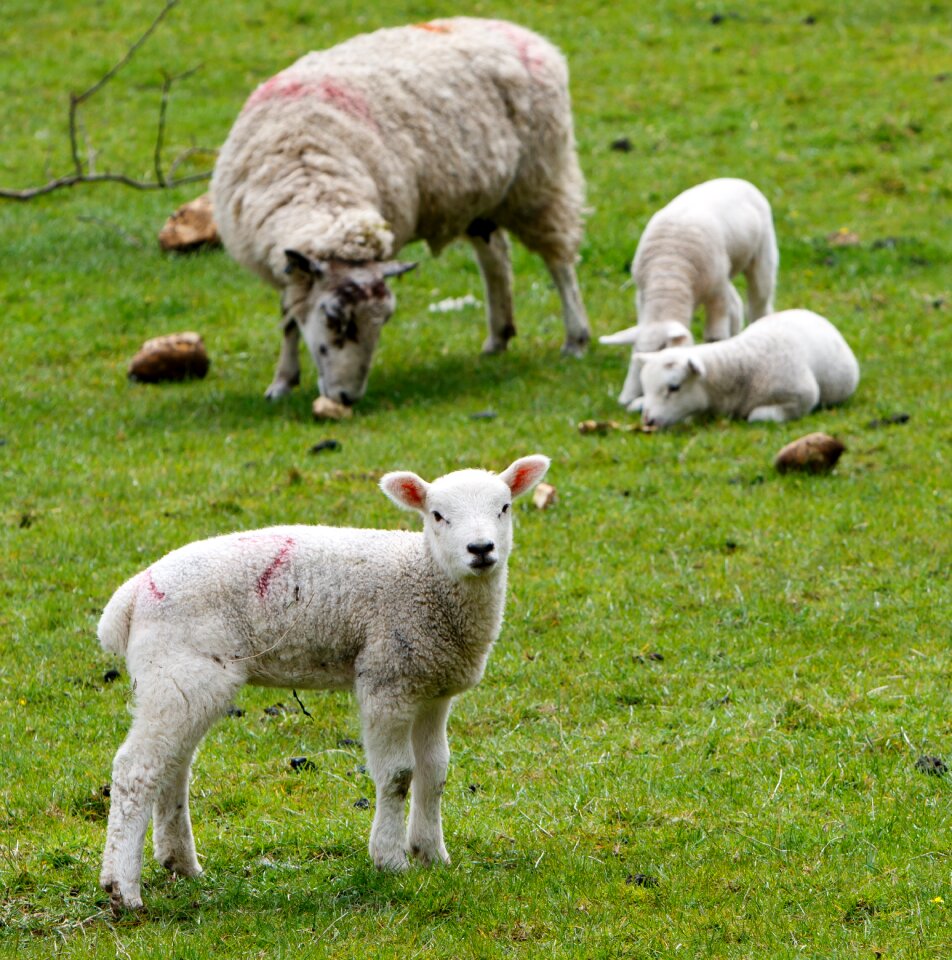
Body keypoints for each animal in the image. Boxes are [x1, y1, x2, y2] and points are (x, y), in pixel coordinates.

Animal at [96, 454, 552, 912]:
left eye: (504, 508)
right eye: (438, 515)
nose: (481, 549)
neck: (426, 578)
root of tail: (131, 597)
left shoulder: (432, 686)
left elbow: (435, 770)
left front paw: (431, 854)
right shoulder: (387, 677)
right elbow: (399, 774)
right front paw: (390, 860)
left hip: (181, 682)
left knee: (173, 765)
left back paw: (180, 862)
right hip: (179, 670)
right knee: (136, 769)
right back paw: (123, 888)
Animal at [212, 15, 592, 404]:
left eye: (384, 321)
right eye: (333, 318)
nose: (347, 397)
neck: (312, 174)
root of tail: (525, 35)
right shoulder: (290, 270)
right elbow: (289, 319)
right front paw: (282, 382)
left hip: (540, 179)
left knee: (560, 262)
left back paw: (576, 338)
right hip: (482, 198)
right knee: (496, 257)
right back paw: (498, 337)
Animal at [604, 178, 780, 410]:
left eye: (665, 351)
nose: (629, 399)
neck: (669, 274)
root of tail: (734, 179)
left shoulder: (716, 294)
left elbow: (714, 337)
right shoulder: (642, 299)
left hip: (761, 256)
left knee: (759, 303)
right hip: (724, 272)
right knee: (736, 303)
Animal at [636, 308, 860, 428]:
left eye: (674, 387)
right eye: (646, 388)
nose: (648, 421)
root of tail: (808, 312)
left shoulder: (801, 397)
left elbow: (757, 417)